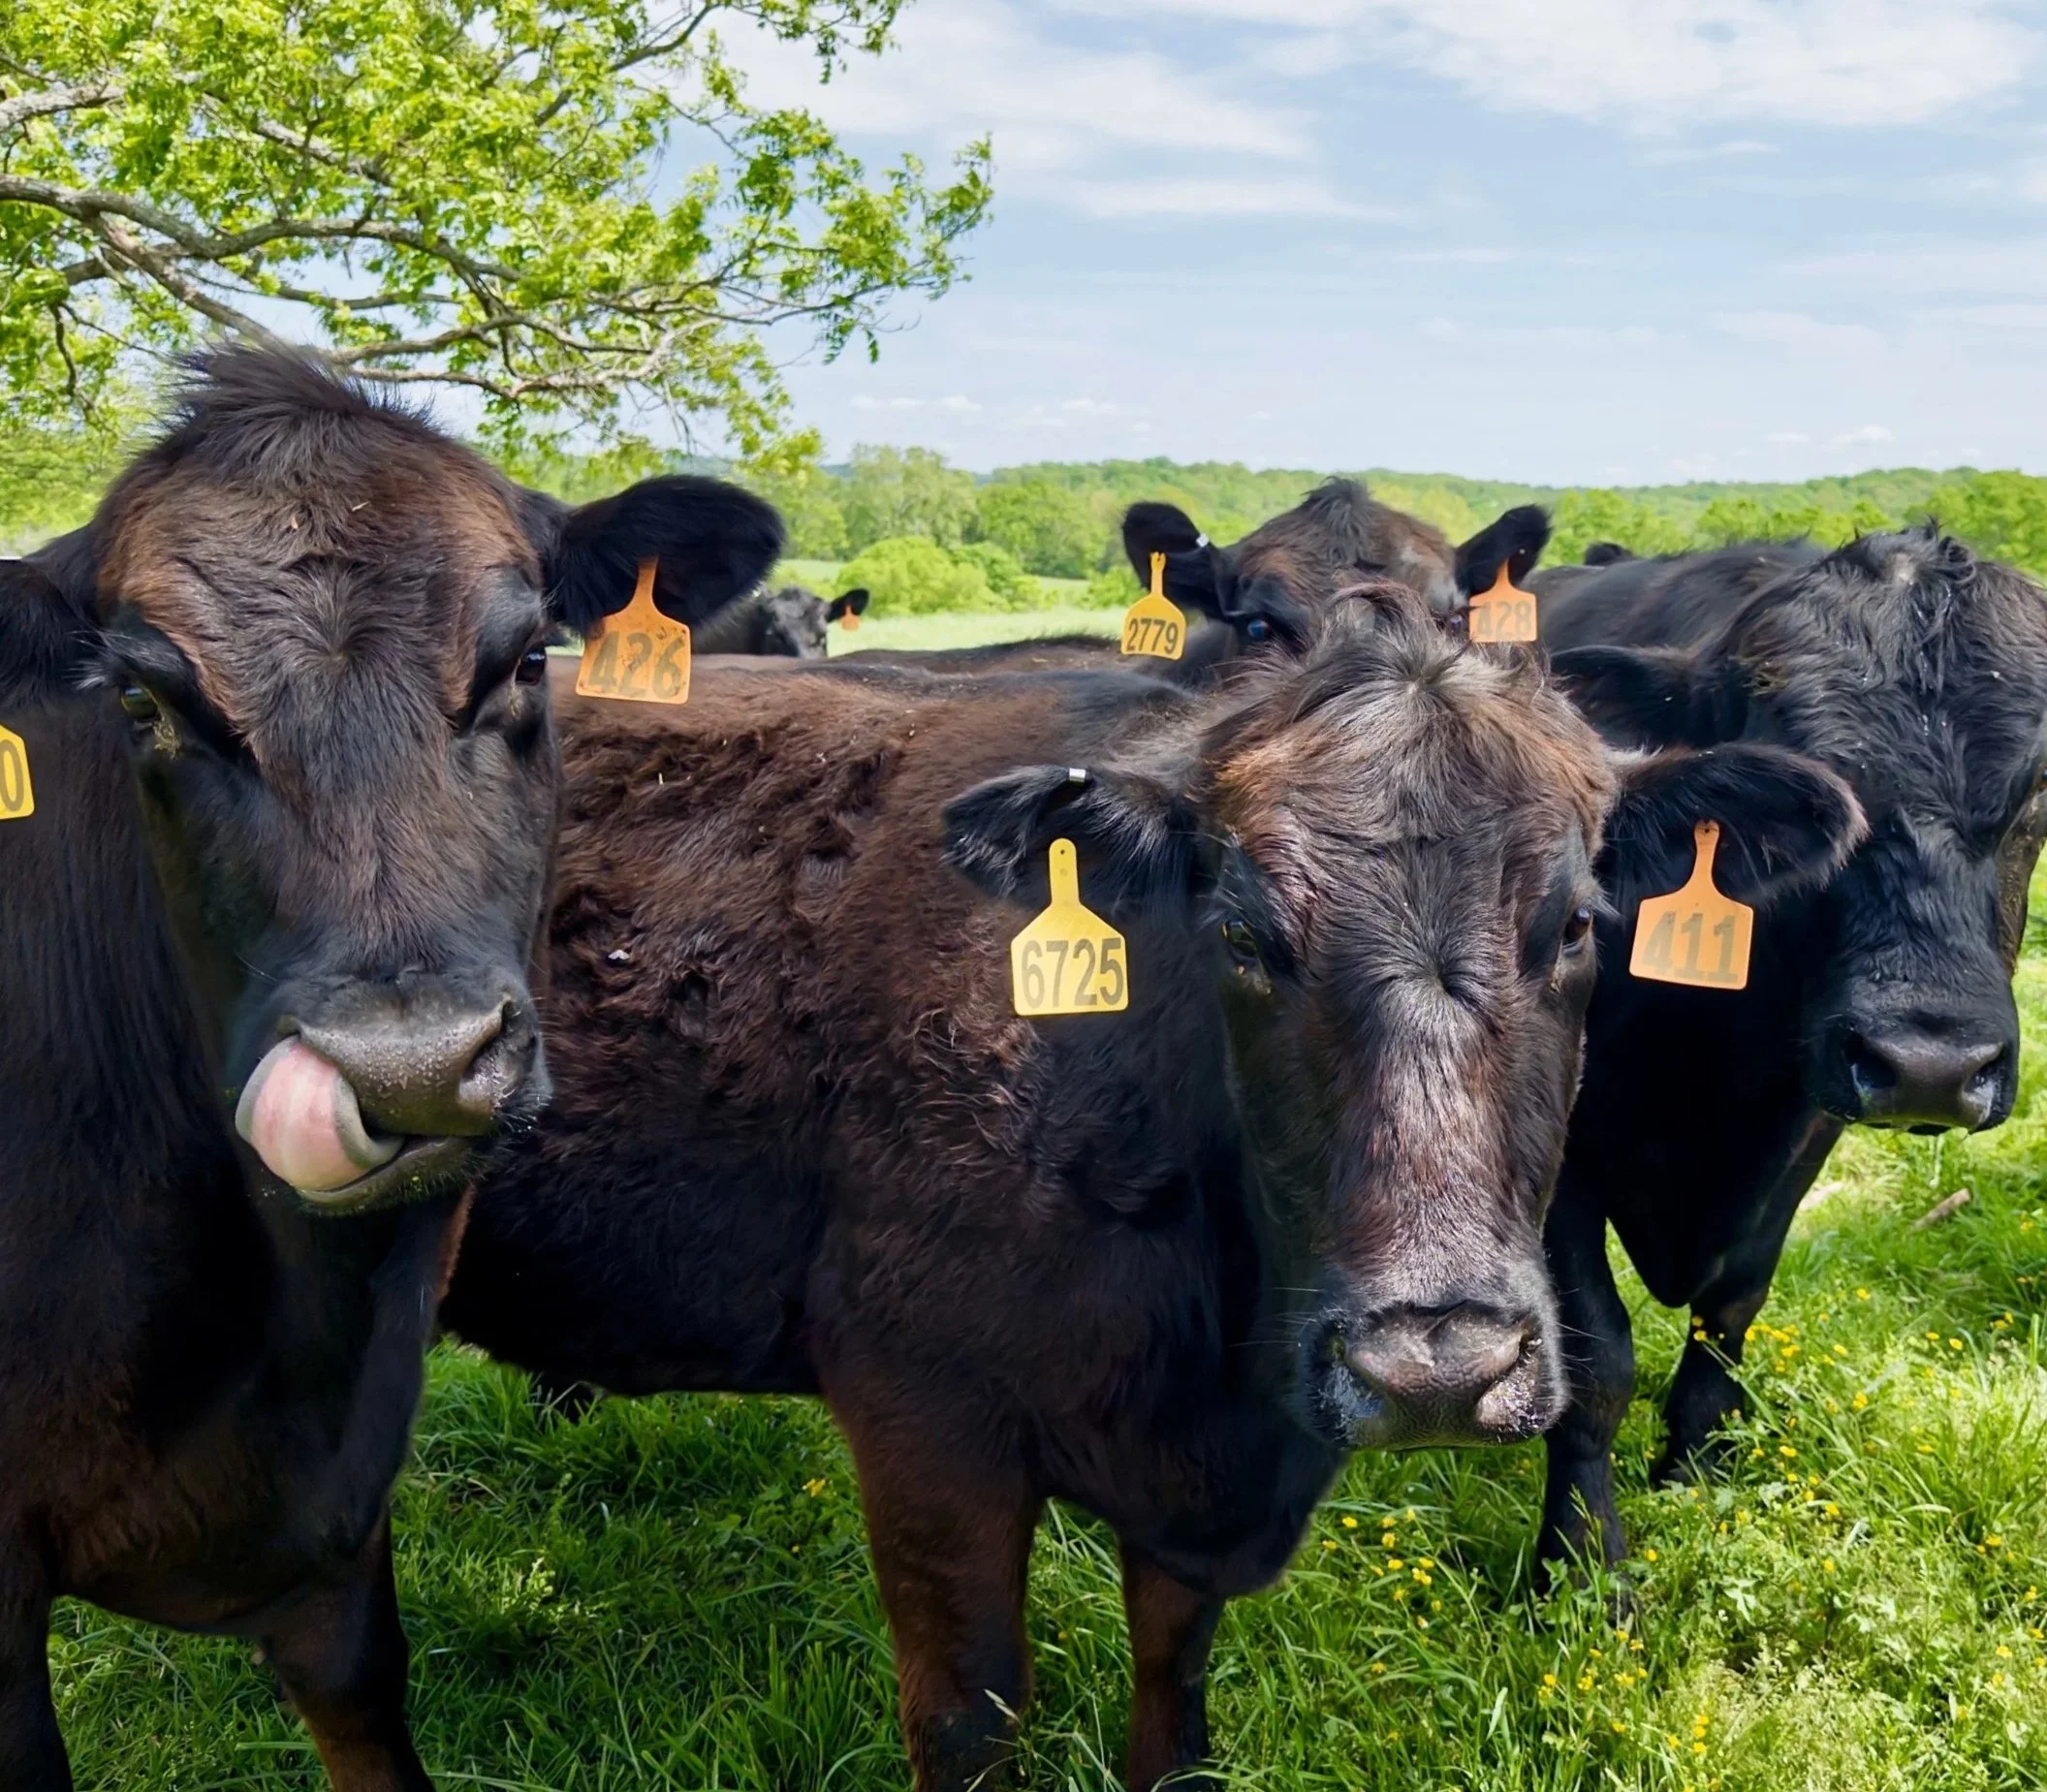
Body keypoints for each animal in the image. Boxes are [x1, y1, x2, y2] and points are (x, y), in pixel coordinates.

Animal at [1523, 529, 2047, 1572]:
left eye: (2039, 787)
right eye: (1819, 789)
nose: (1929, 1064)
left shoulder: (1803, 1133)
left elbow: (1730, 1311)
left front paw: (1696, 1476)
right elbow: (1596, 1354)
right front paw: (1584, 1560)